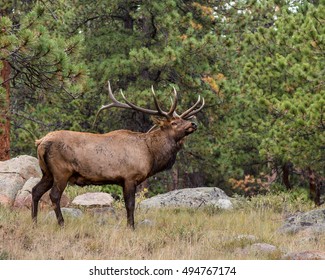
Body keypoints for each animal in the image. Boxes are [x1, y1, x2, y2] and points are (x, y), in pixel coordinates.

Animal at [30, 81, 202, 228]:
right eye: (174, 123)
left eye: (182, 119)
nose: (193, 124)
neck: (150, 154)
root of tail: (41, 142)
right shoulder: (129, 177)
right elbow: (130, 205)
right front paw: (131, 227)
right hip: (61, 171)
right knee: (54, 195)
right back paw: (61, 224)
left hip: (47, 172)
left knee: (35, 190)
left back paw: (34, 222)